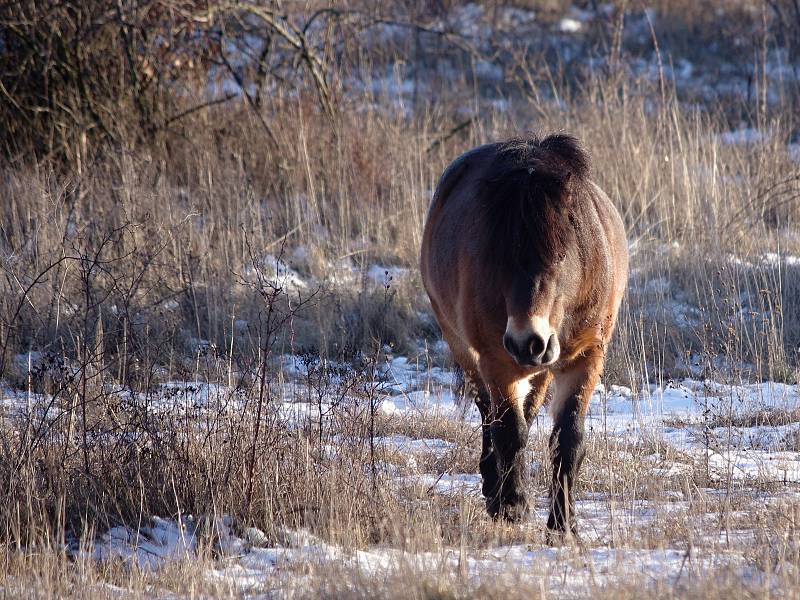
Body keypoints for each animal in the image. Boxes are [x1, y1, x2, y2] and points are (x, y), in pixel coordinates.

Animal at [422, 135, 628, 540]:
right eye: (498, 258)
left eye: (562, 256)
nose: (528, 341)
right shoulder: (497, 360)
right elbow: (509, 431)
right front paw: (512, 504)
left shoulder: (587, 357)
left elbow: (568, 440)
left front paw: (563, 524)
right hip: (467, 348)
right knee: (488, 412)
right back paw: (493, 485)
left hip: (543, 365)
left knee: (528, 409)